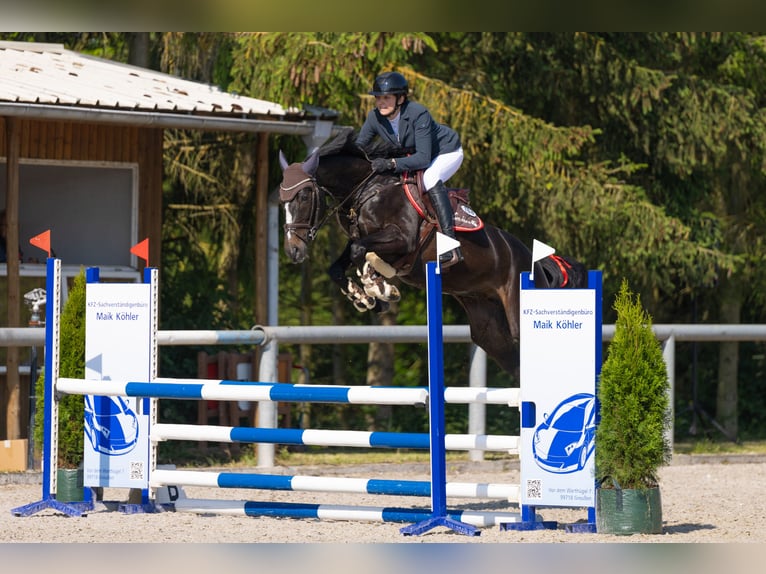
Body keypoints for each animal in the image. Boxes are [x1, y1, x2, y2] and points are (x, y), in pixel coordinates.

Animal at [280, 132, 588, 376]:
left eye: (304, 197)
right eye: (282, 202)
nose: (294, 251)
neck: (368, 190)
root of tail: (534, 261)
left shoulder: (402, 240)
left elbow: (362, 253)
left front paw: (379, 287)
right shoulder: (363, 240)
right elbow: (342, 263)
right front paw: (365, 298)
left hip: (521, 314)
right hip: (488, 329)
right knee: (516, 365)